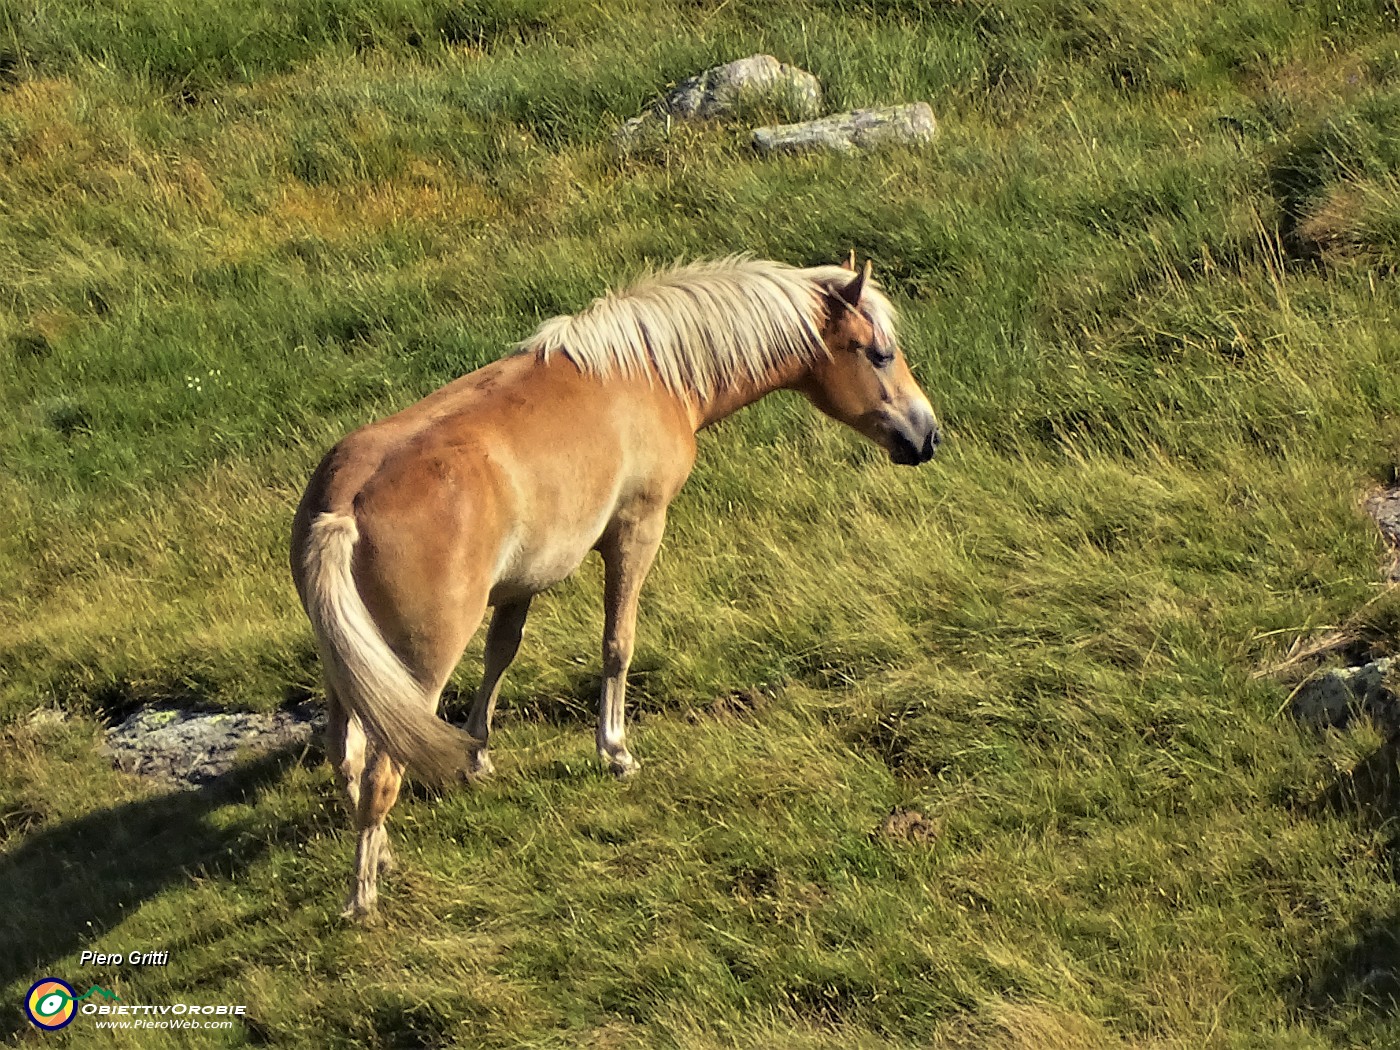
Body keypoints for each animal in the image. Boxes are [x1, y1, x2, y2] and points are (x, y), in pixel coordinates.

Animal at [292, 250, 940, 918]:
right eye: (879, 353)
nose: (927, 435)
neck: (647, 375)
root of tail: (343, 509)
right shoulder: (637, 531)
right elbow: (616, 645)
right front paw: (614, 749)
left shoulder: (522, 581)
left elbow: (501, 654)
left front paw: (478, 755)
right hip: (422, 660)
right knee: (379, 772)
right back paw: (363, 897)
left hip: (351, 665)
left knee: (345, 754)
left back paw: (382, 857)